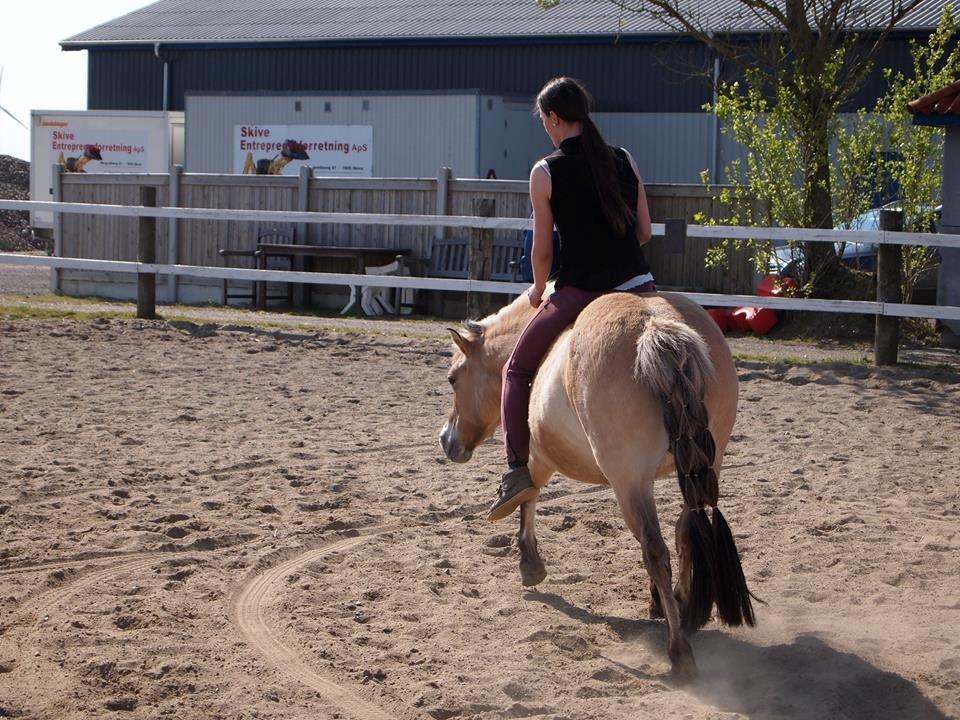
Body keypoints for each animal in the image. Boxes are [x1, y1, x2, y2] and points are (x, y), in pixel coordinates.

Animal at [438, 288, 752, 680]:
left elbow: (527, 496)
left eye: (453, 379)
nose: (446, 440)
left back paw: (679, 651)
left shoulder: (537, 456)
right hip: (705, 464)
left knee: (655, 549)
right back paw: (679, 606)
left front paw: (530, 562)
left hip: (629, 481)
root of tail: (655, 327)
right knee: (684, 529)